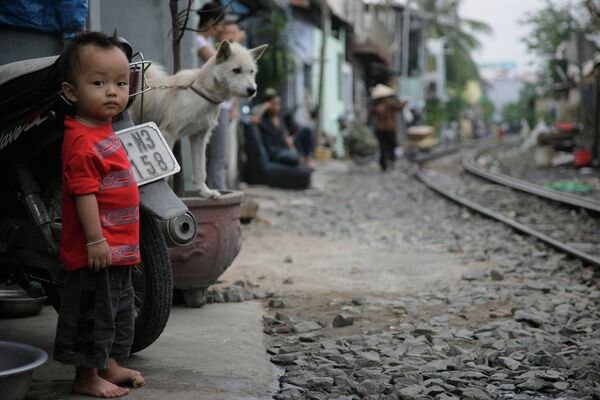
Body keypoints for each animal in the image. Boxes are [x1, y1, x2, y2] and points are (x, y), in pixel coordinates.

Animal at [131, 40, 268, 197]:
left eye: (252, 72)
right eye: (236, 70)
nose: (252, 91)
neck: (202, 93)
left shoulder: (199, 137)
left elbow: (200, 170)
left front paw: (205, 192)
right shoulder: (168, 134)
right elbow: (166, 175)